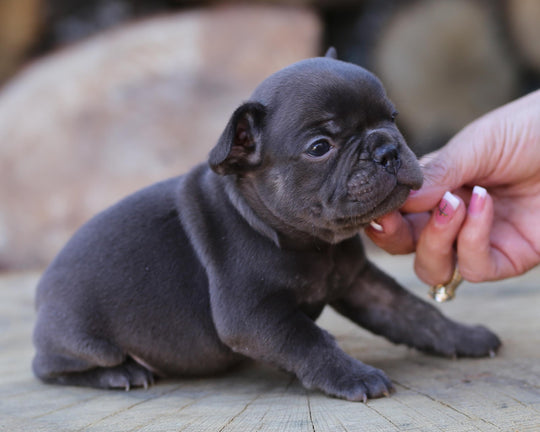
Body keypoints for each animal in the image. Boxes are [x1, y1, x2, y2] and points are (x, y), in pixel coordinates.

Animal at [31, 49, 500, 402]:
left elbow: (413, 312)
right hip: (83, 339)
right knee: (50, 367)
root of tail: (41, 295)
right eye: (320, 147)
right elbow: (311, 340)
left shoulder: (360, 285)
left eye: (392, 117)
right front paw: (354, 376)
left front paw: (464, 337)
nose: (387, 148)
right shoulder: (255, 315)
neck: (313, 243)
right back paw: (120, 374)